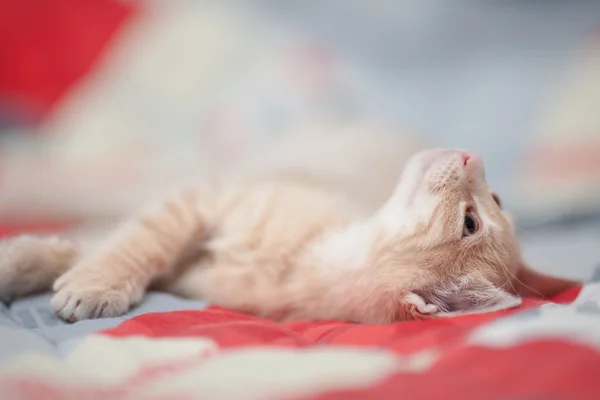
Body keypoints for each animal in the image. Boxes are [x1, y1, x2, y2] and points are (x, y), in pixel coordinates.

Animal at [0, 148, 576, 324]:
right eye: (489, 204)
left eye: (471, 222)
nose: (470, 155)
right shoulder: (205, 199)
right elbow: (131, 241)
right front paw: (43, 269)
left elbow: (125, 244)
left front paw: (89, 283)